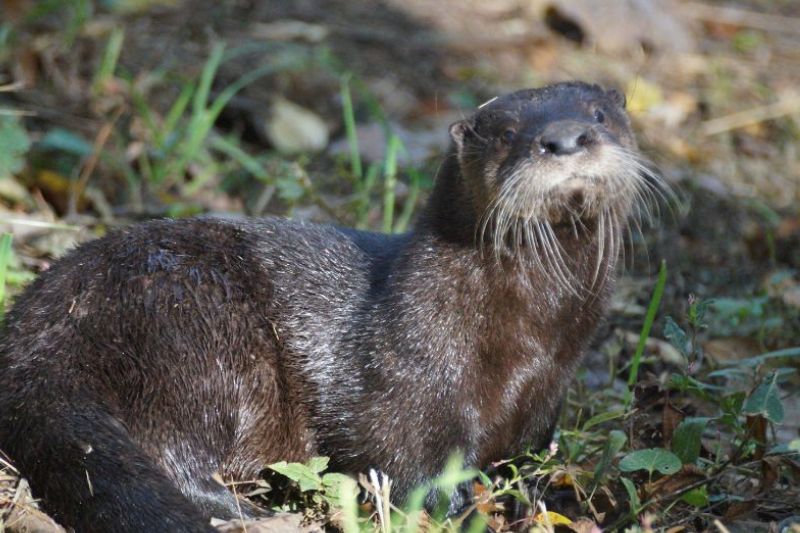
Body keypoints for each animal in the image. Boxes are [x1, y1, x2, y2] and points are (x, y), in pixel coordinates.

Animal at [0, 82, 660, 532]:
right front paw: (455, 507)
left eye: (600, 115)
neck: (525, 340)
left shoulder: (546, 401)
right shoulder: (409, 376)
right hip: (202, 334)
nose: (565, 138)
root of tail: (34, 341)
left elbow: (529, 464)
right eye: (507, 133)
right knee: (176, 456)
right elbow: (403, 458)